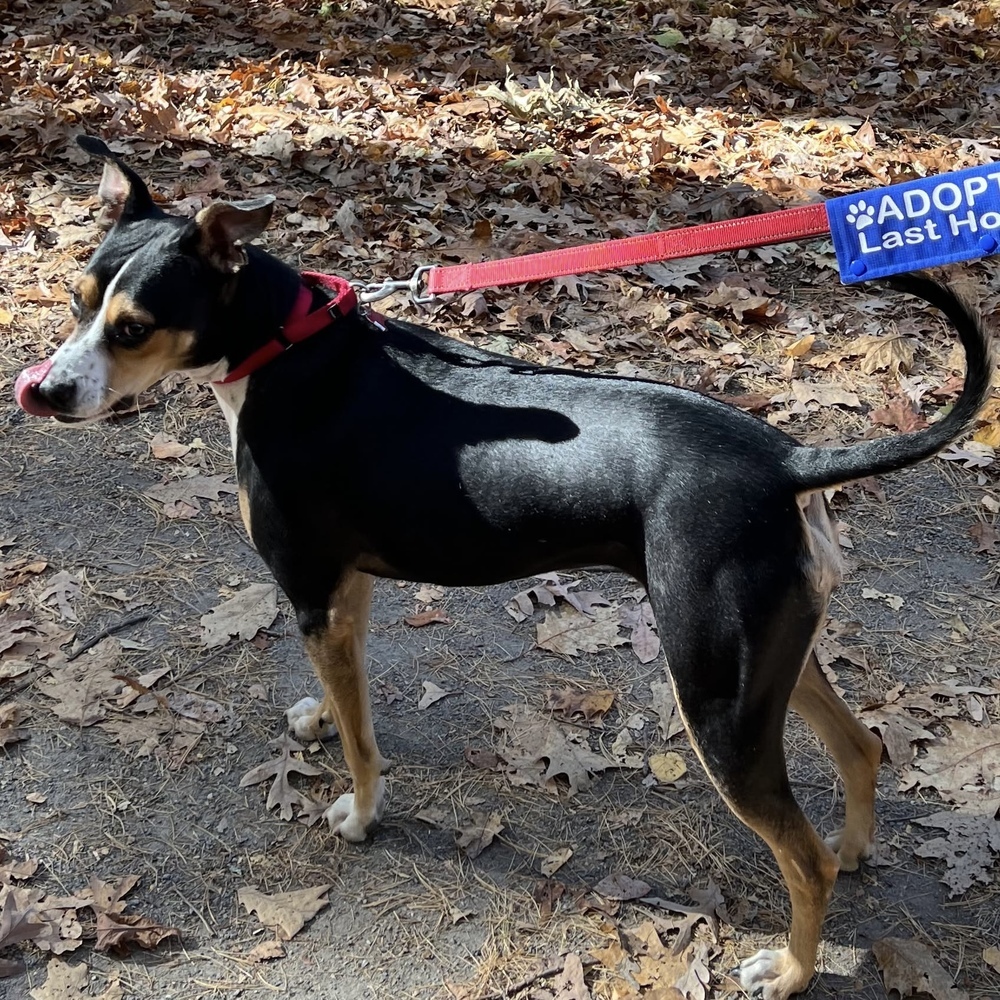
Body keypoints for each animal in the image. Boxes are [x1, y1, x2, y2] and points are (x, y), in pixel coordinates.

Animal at [13, 137, 992, 996]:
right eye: (73, 299)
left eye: (133, 327)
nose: (46, 392)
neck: (286, 351)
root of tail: (791, 459)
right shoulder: (341, 591)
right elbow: (345, 694)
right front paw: (321, 719)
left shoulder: (311, 586)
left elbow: (365, 745)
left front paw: (361, 814)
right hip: (771, 665)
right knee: (862, 748)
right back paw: (857, 848)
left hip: (716, 698)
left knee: (804, 857)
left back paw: (790, 970)